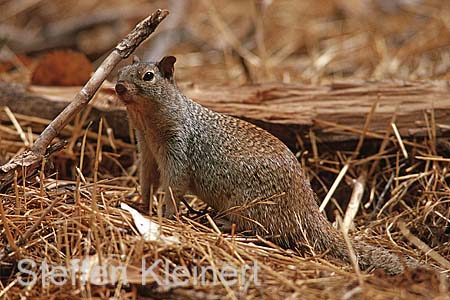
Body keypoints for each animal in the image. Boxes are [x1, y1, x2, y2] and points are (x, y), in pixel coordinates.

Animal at [115, 55, 408, 276]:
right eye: (121, 70)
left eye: (148, 76)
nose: (118, 86)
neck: (148, 125)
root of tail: (307, 211)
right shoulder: (147, 150)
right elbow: (147, 179)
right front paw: (140, 203)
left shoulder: (178, 152)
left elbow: (174, 187)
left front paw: (164, 216)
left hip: (250, 205)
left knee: (264, 231)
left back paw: (223, 223)